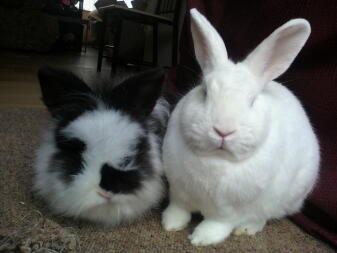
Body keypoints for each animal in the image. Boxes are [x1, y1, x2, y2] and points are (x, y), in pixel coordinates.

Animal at [161, 9, 318, 245]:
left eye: (252, 101)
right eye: (204, 92)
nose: (223, 130)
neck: (216, 159)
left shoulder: (228, 210)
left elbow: (218, 224)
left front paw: (201, 239)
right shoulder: (178, 191)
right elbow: (178, 208)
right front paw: (170, 224)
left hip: (283, 199)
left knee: (262, 216)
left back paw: (246, 229)